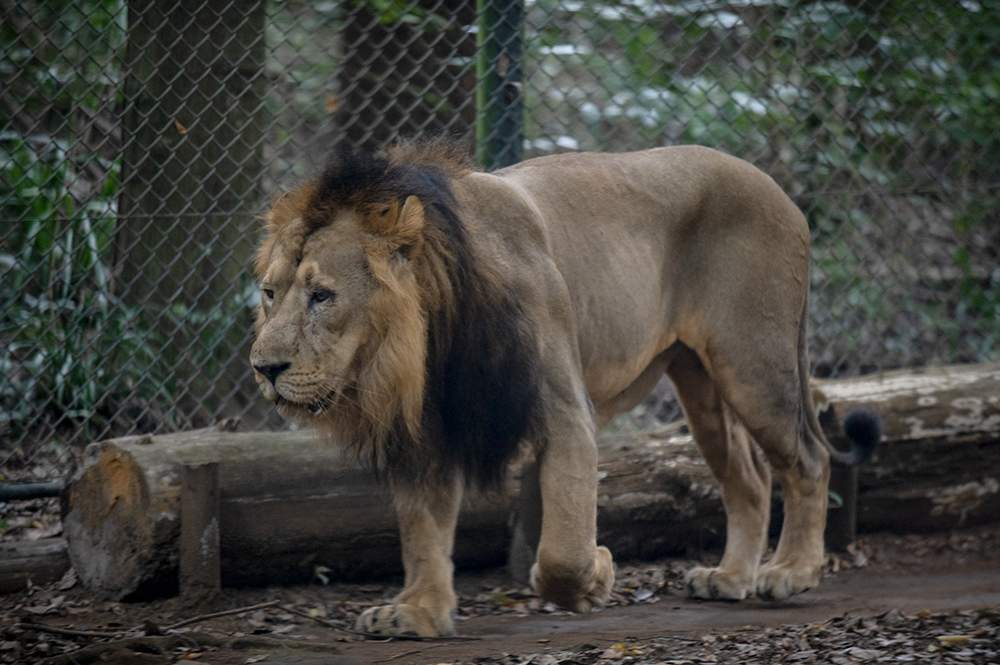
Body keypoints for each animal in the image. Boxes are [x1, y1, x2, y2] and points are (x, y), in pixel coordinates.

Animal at [250, 141, 876, 640]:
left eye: (322, 296)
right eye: (269, 292)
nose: (263, 367)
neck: (429, 337)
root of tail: (779, 190)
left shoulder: (566, 414)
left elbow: (561, 552)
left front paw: (597, 576)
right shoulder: (427, 430)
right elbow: (422, 531)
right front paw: (418, 612)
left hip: (753, 362)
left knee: (809, 459)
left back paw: (791, 572)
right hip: (698, 377)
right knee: (749, 476)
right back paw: (729, 577)